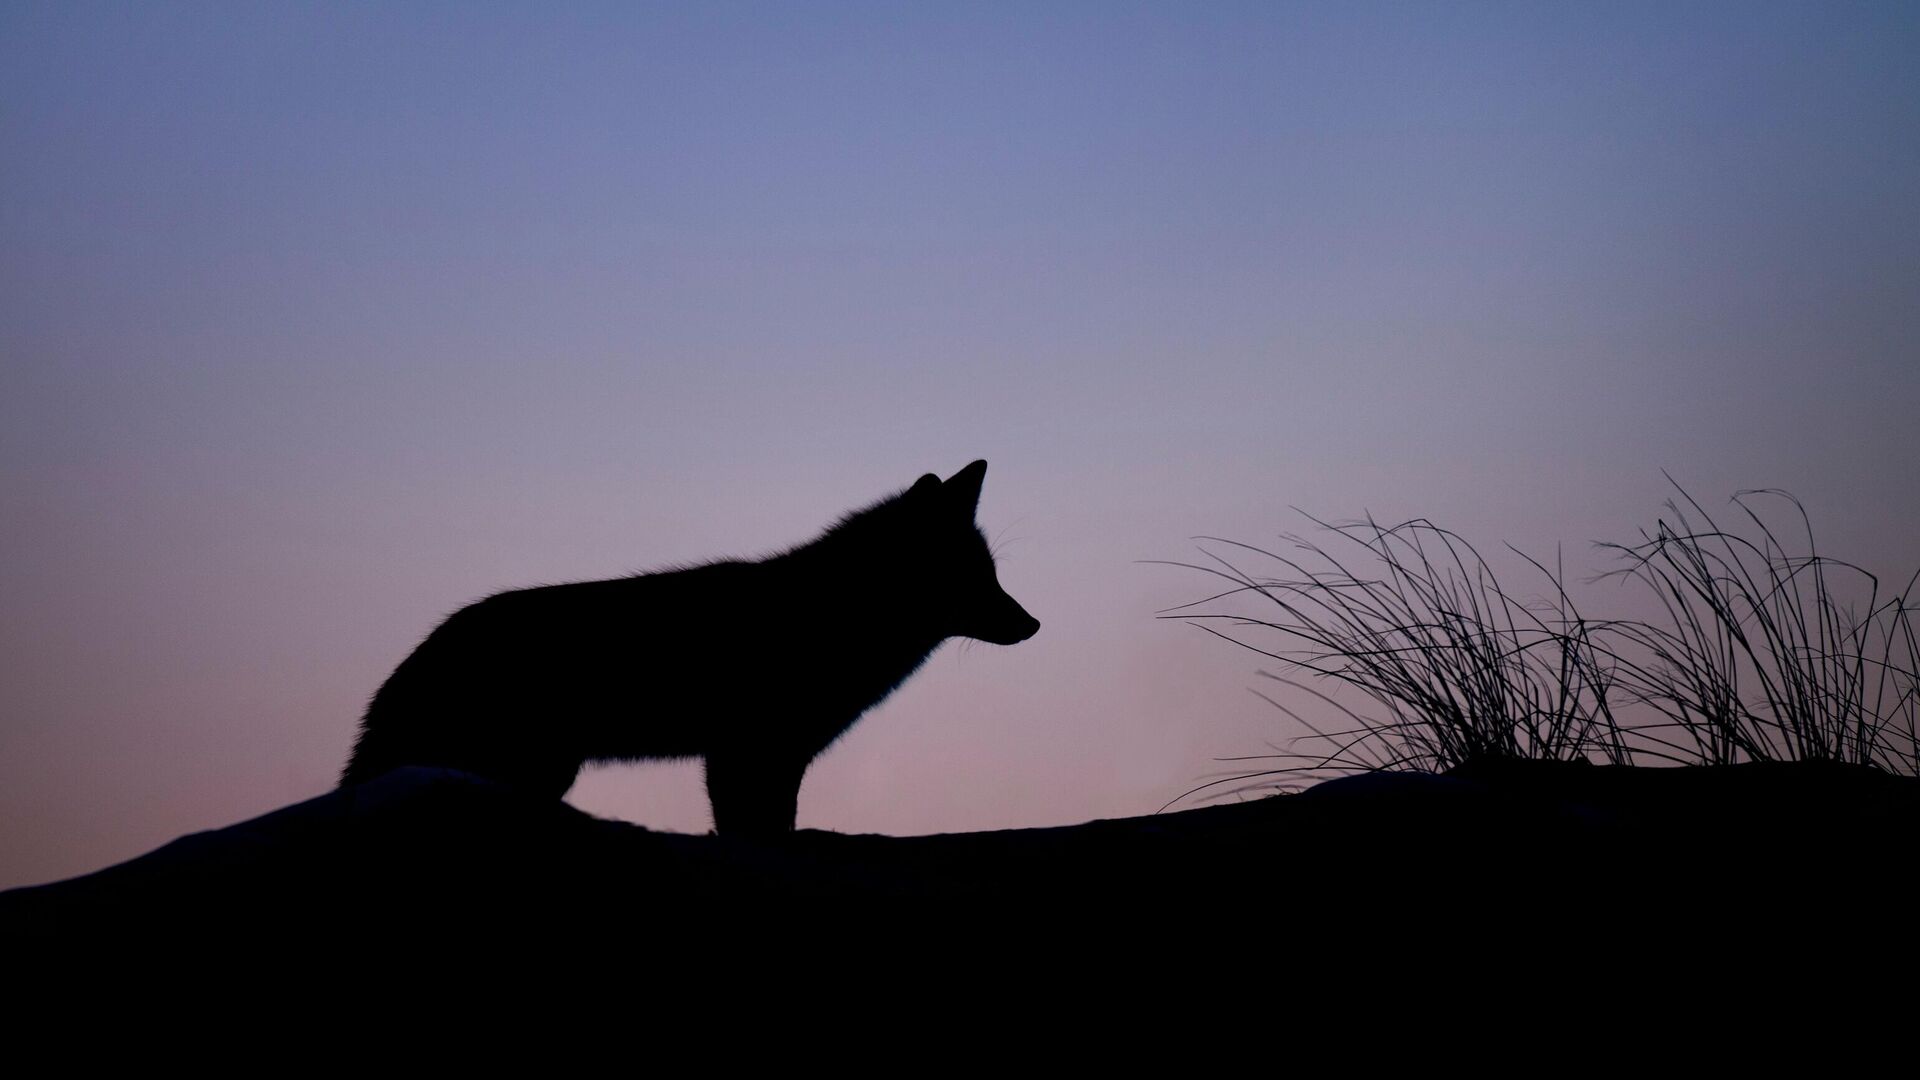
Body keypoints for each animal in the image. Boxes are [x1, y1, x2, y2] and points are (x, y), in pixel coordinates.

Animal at [345, 457, 1036, 837]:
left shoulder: (774, 758)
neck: (833, 615)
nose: (1032, 625)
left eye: (992, 574)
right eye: (974, 578)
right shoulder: (747, 753)